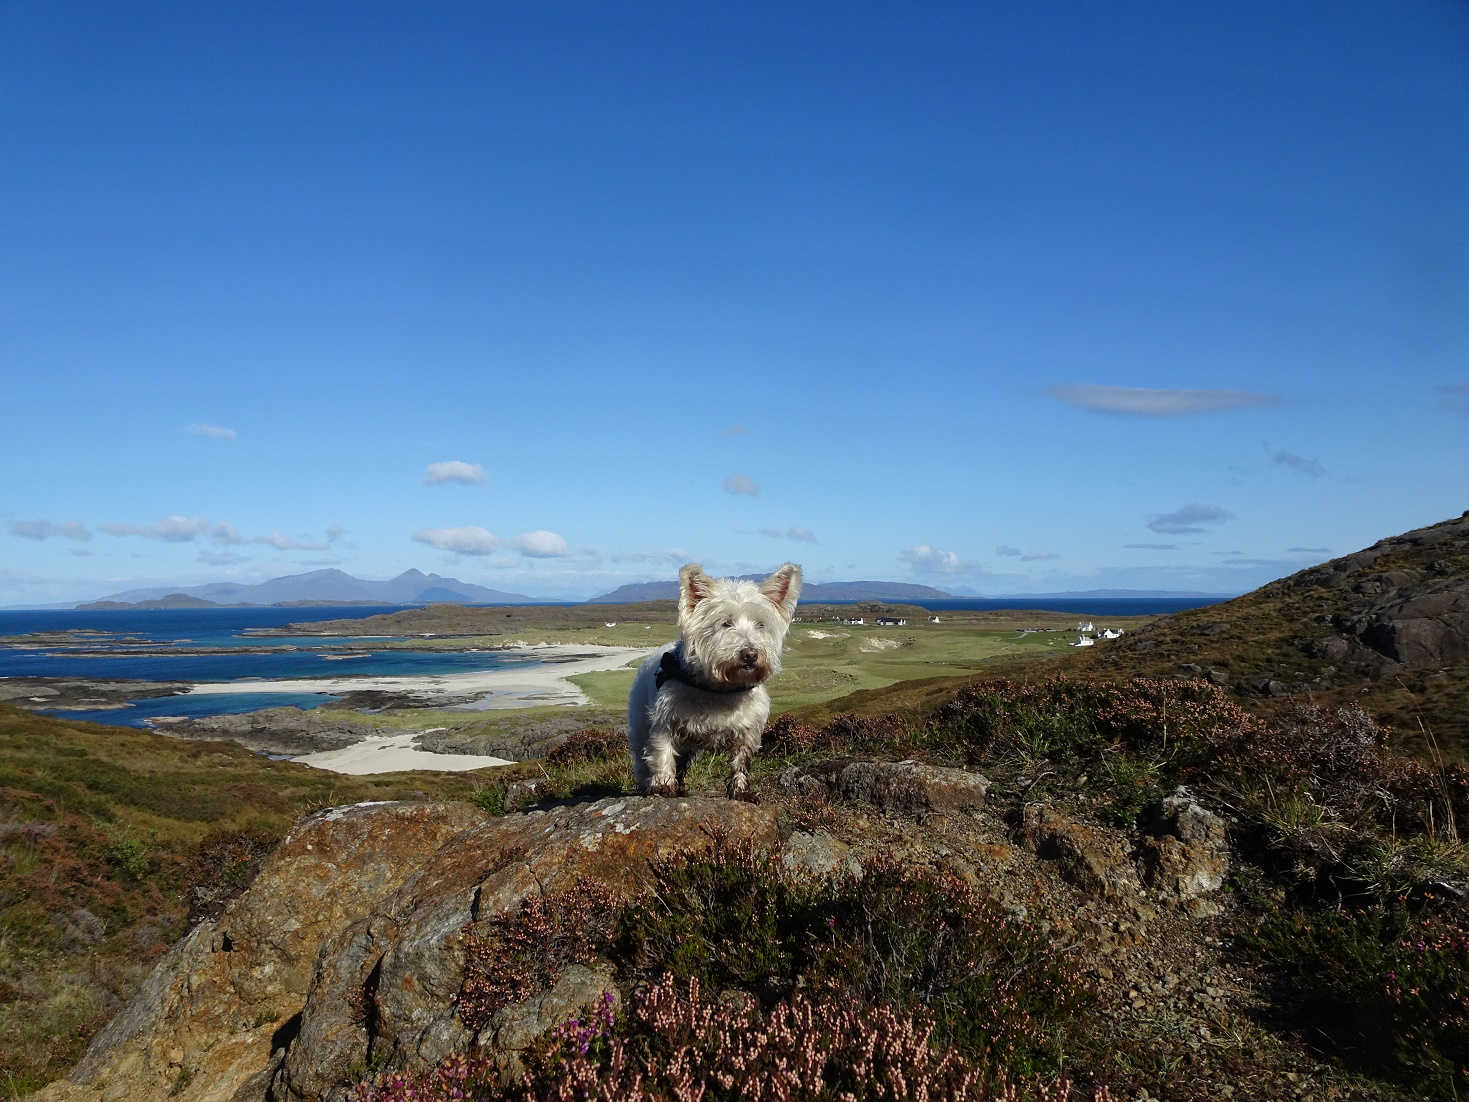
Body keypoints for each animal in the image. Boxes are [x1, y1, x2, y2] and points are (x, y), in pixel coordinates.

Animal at [622, 564, 799, 799]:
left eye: (760, 624)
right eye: (725, 623)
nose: (750, 654)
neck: (719, 689)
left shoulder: (748, 731)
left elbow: (741, 761)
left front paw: (740, 791)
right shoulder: (664, 722)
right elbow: (662, 753)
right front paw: (662, 785)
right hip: (640, 724)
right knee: (642, 760)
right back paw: (647, 784)